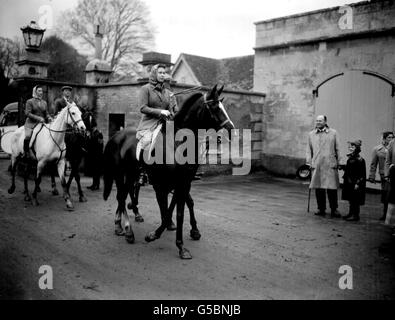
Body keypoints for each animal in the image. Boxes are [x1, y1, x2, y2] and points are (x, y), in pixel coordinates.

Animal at [103, 84, 235, 258]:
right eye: (214, 107)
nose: (231, 129)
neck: (177, 143)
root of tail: (116, 135)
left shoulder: (182, 183)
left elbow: (178, 210)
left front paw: (179, 243)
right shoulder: (164, 183)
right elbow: (169, 207)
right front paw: (159, 235)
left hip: (131, 175)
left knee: (124, 195)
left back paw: (120, 225)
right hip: (121, 174)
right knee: (122, 196)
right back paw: (128, 230)